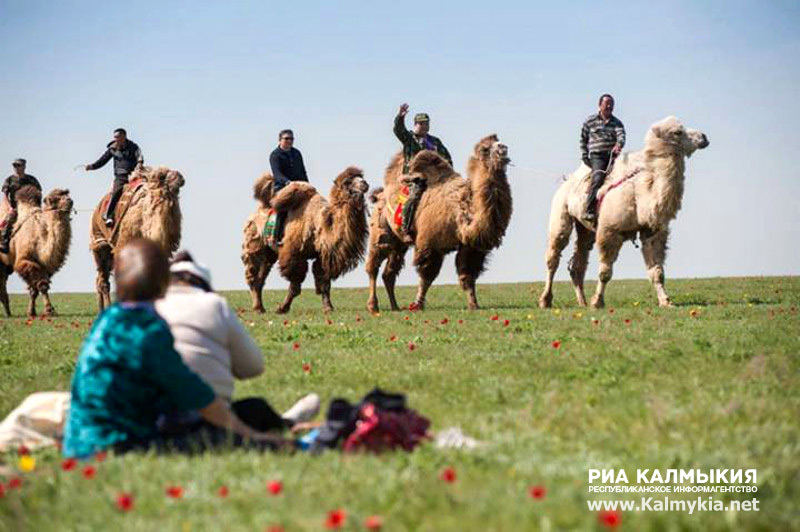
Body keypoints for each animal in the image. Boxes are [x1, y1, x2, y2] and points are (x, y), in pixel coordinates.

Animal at [0, 186, 73, 316]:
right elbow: (42, 286)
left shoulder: (43, 266)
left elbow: (34, 290)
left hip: (5, 265)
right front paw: (49, 310)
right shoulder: (25, 261)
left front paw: (31, 312)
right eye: (54, 199)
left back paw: (8, 312)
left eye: (67, 194)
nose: (70, 201)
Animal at [242, 168, 370, 314]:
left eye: (360, 177)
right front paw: (282, 308)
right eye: (347, 182)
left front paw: (328, 307)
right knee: (252, 275)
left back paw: (260, 307)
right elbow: (295, 286)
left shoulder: (322, 256)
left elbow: (324, 282)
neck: (320, 225)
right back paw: (258, 308)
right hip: (254, 244)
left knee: (261, 277)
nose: (365, 184)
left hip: (269, 253)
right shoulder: (294, 254)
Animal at [364, 135, 510, 314]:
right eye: (485, 148)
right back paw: (373, 306)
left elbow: (467, 275)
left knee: (389, 273)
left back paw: (395, 306)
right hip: (381, 231)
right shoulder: (430, 244)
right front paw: (418, 305)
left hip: (399, 243)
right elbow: (427, 276)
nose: (503, 148)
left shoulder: (470, 247)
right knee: (373, 266)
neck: (461, 210)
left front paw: (474, 304)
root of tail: (379, 196)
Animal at [540, 116, 708, 308]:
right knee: (554, 256)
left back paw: (582, 302)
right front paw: (597, 302)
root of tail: (566, 182)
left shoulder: (651, 231)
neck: (641, 194)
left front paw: (666, 301)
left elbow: (657, 272)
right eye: (677, 132)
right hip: (560, 213)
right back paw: (545, 300)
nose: (704, 137)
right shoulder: (609, 231)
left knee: (578, 263)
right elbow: (605, 272)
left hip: (585, 229)